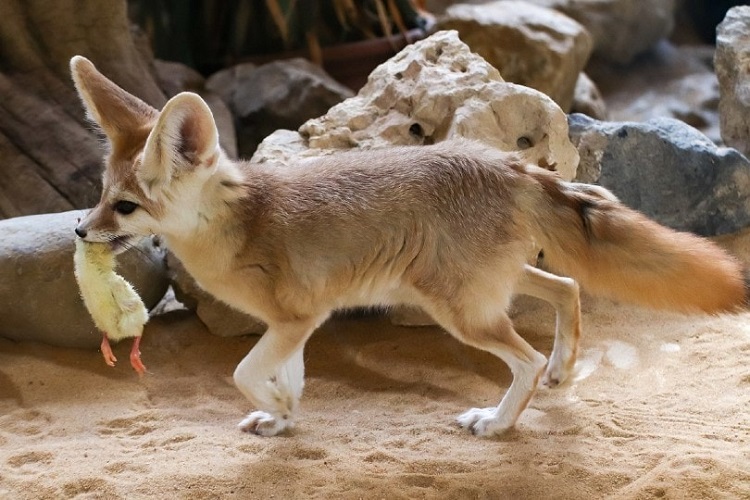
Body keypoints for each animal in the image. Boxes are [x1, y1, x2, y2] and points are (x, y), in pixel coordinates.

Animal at [70, 55, 748, 438]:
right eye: (101, 195)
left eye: (125, 207)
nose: (79, 231)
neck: (240, 222)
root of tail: (508, 166)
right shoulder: (296, 326)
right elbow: (287, 378)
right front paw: (284, 417)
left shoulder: (296, 319)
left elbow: (243, 372)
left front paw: (278, 408)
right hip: (488, 287)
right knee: (568, 288)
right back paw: (561, 370)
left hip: (459, 311)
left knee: (525, 357)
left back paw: (499, 423)